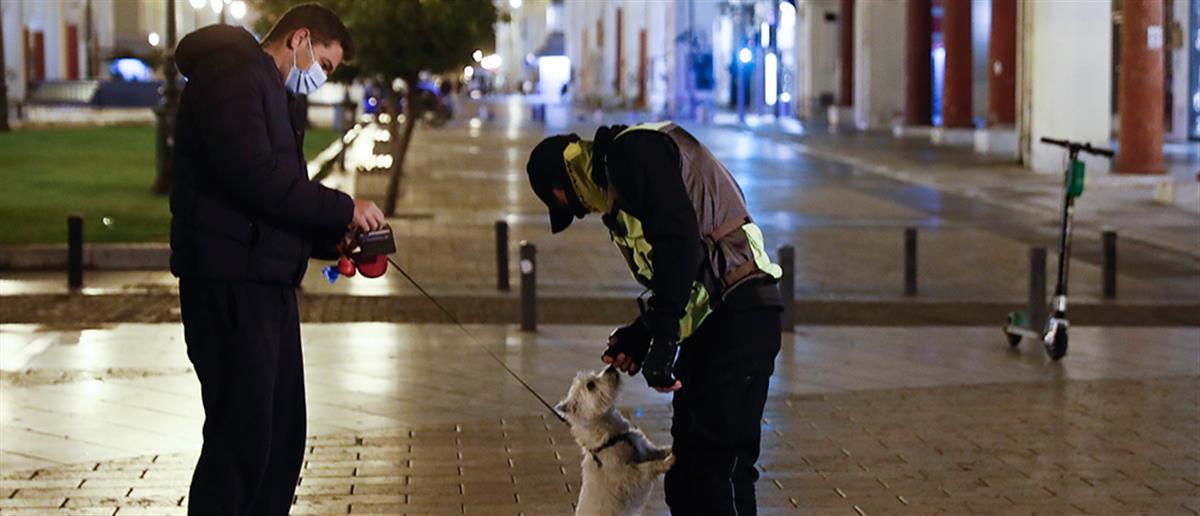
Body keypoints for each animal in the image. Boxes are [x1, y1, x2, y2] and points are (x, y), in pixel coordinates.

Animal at [556, 366, 675, 516]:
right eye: (590, 385)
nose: (610, 367)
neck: (612, 437)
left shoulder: (644, 449)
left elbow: (659, 451)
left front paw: (671, 450)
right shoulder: (627, 475)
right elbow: (648, 467)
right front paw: (668, 462)